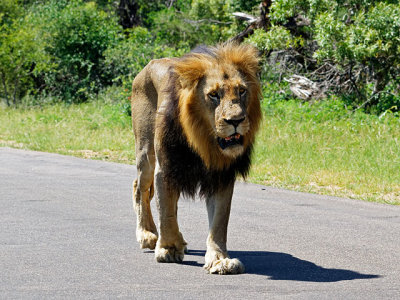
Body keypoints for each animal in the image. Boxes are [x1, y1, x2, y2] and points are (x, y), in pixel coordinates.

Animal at [131, 42, 262, 274]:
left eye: (242, 91)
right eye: (214, 95)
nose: (236, 120)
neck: (204, 141)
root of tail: (149, 64)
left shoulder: (221, 175)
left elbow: (219, 222)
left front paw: (219, 260)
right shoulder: (165, 168)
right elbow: (166, 212)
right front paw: (168, 249)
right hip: (146, 153)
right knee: (140, 189)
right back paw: (147, 235)